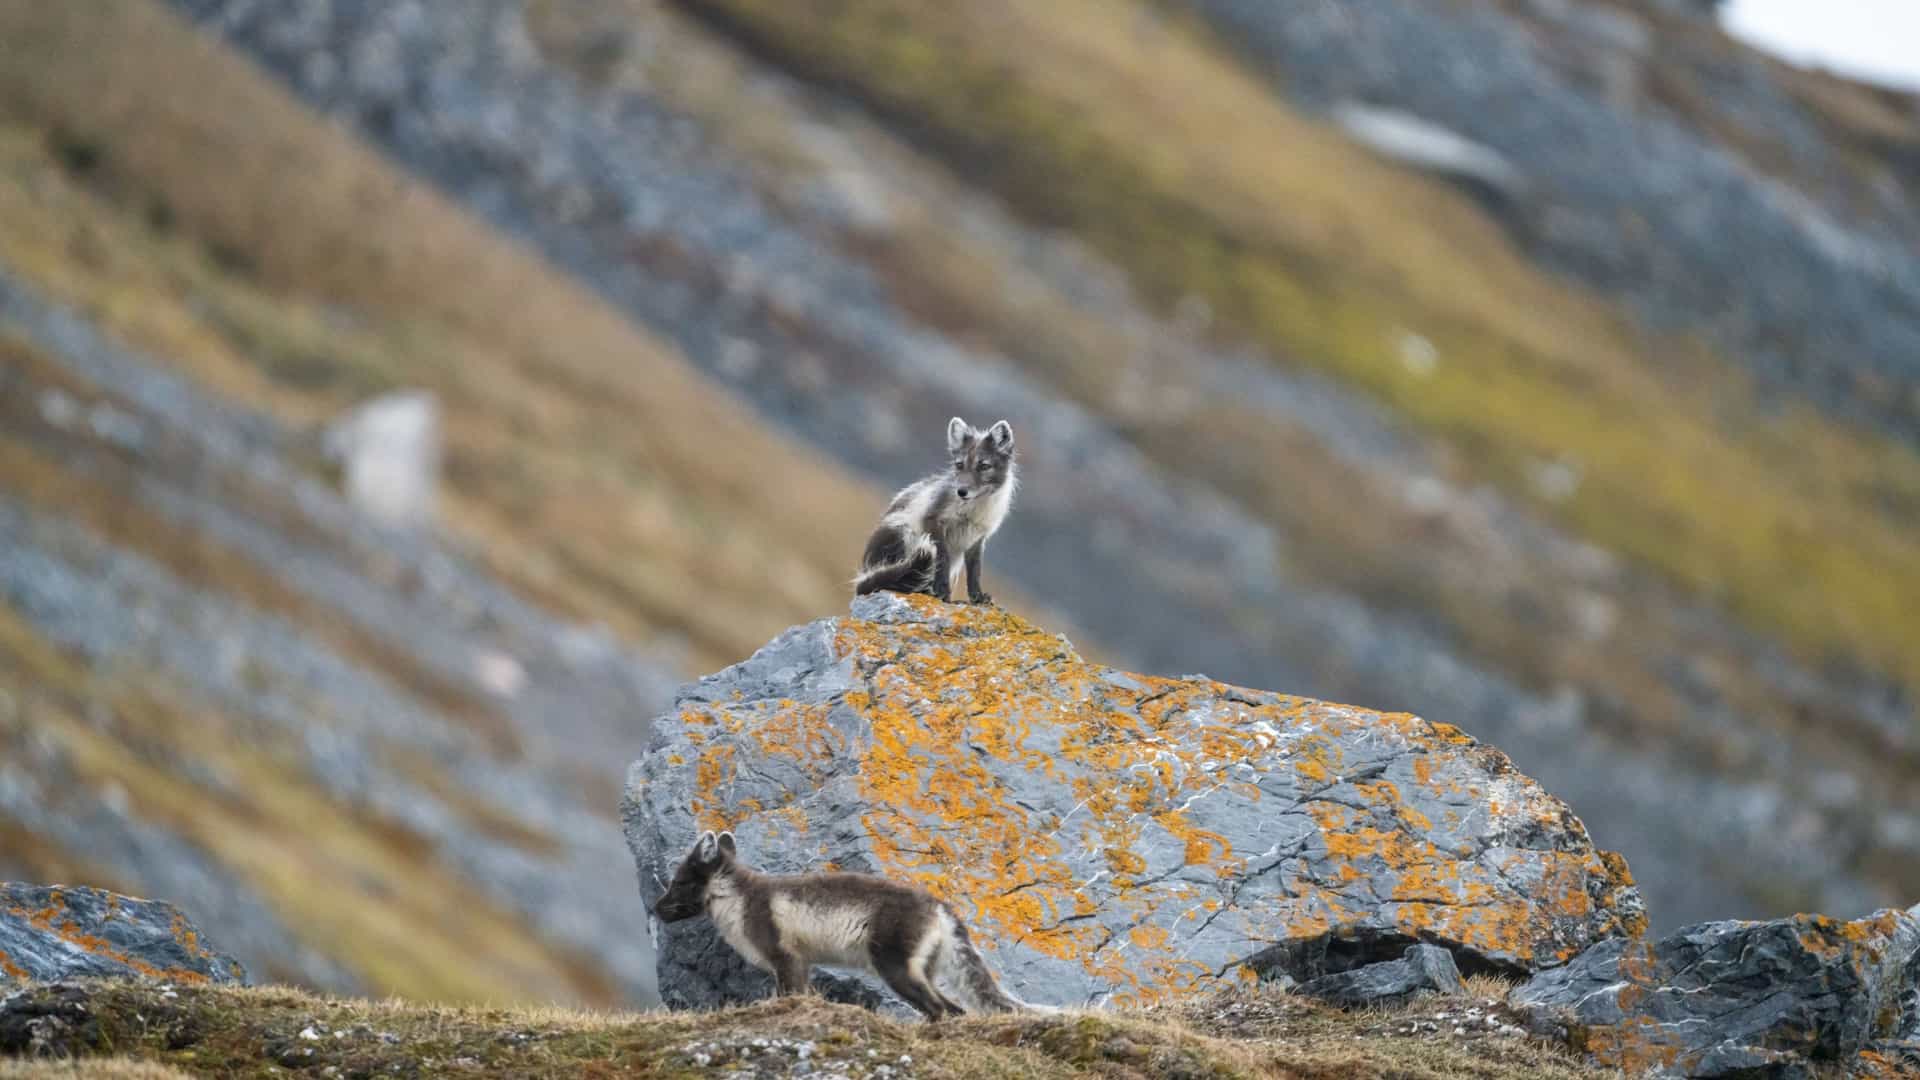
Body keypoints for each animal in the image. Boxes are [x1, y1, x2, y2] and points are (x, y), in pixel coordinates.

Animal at [651, 830, 1052, 1019]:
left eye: (679, 882)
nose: (657, 909)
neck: (739, 900)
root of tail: (940, 906)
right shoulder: (803, 961)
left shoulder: (785, 957)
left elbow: (790, 993)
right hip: (923, 969)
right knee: (955, 1010)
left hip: (895, 968)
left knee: (940, 1009)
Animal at [854, 417, 1016, 604]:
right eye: (959, 465)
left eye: (983, 466)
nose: (961, 492)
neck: (972, 510)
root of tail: (863, 574)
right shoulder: (933, 519)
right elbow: (941, 559)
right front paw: (942, 592)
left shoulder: (977, 538)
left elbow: (975, 571)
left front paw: (977, 597)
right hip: (904, 532)